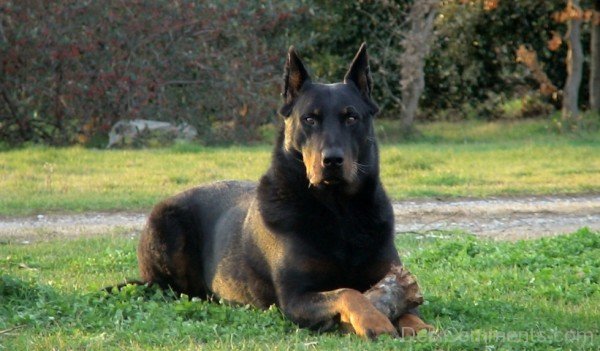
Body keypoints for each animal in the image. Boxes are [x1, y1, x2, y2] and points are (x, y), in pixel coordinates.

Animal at [136, 43, 432, 338]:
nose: (332, 161)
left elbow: (407, 308)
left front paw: (420, 326)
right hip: (166, 227)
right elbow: (348, 292)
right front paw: (374, 320)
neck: (339, 211)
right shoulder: (295, 298)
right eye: (309, 119)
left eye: (351, 117)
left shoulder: (390, 276)